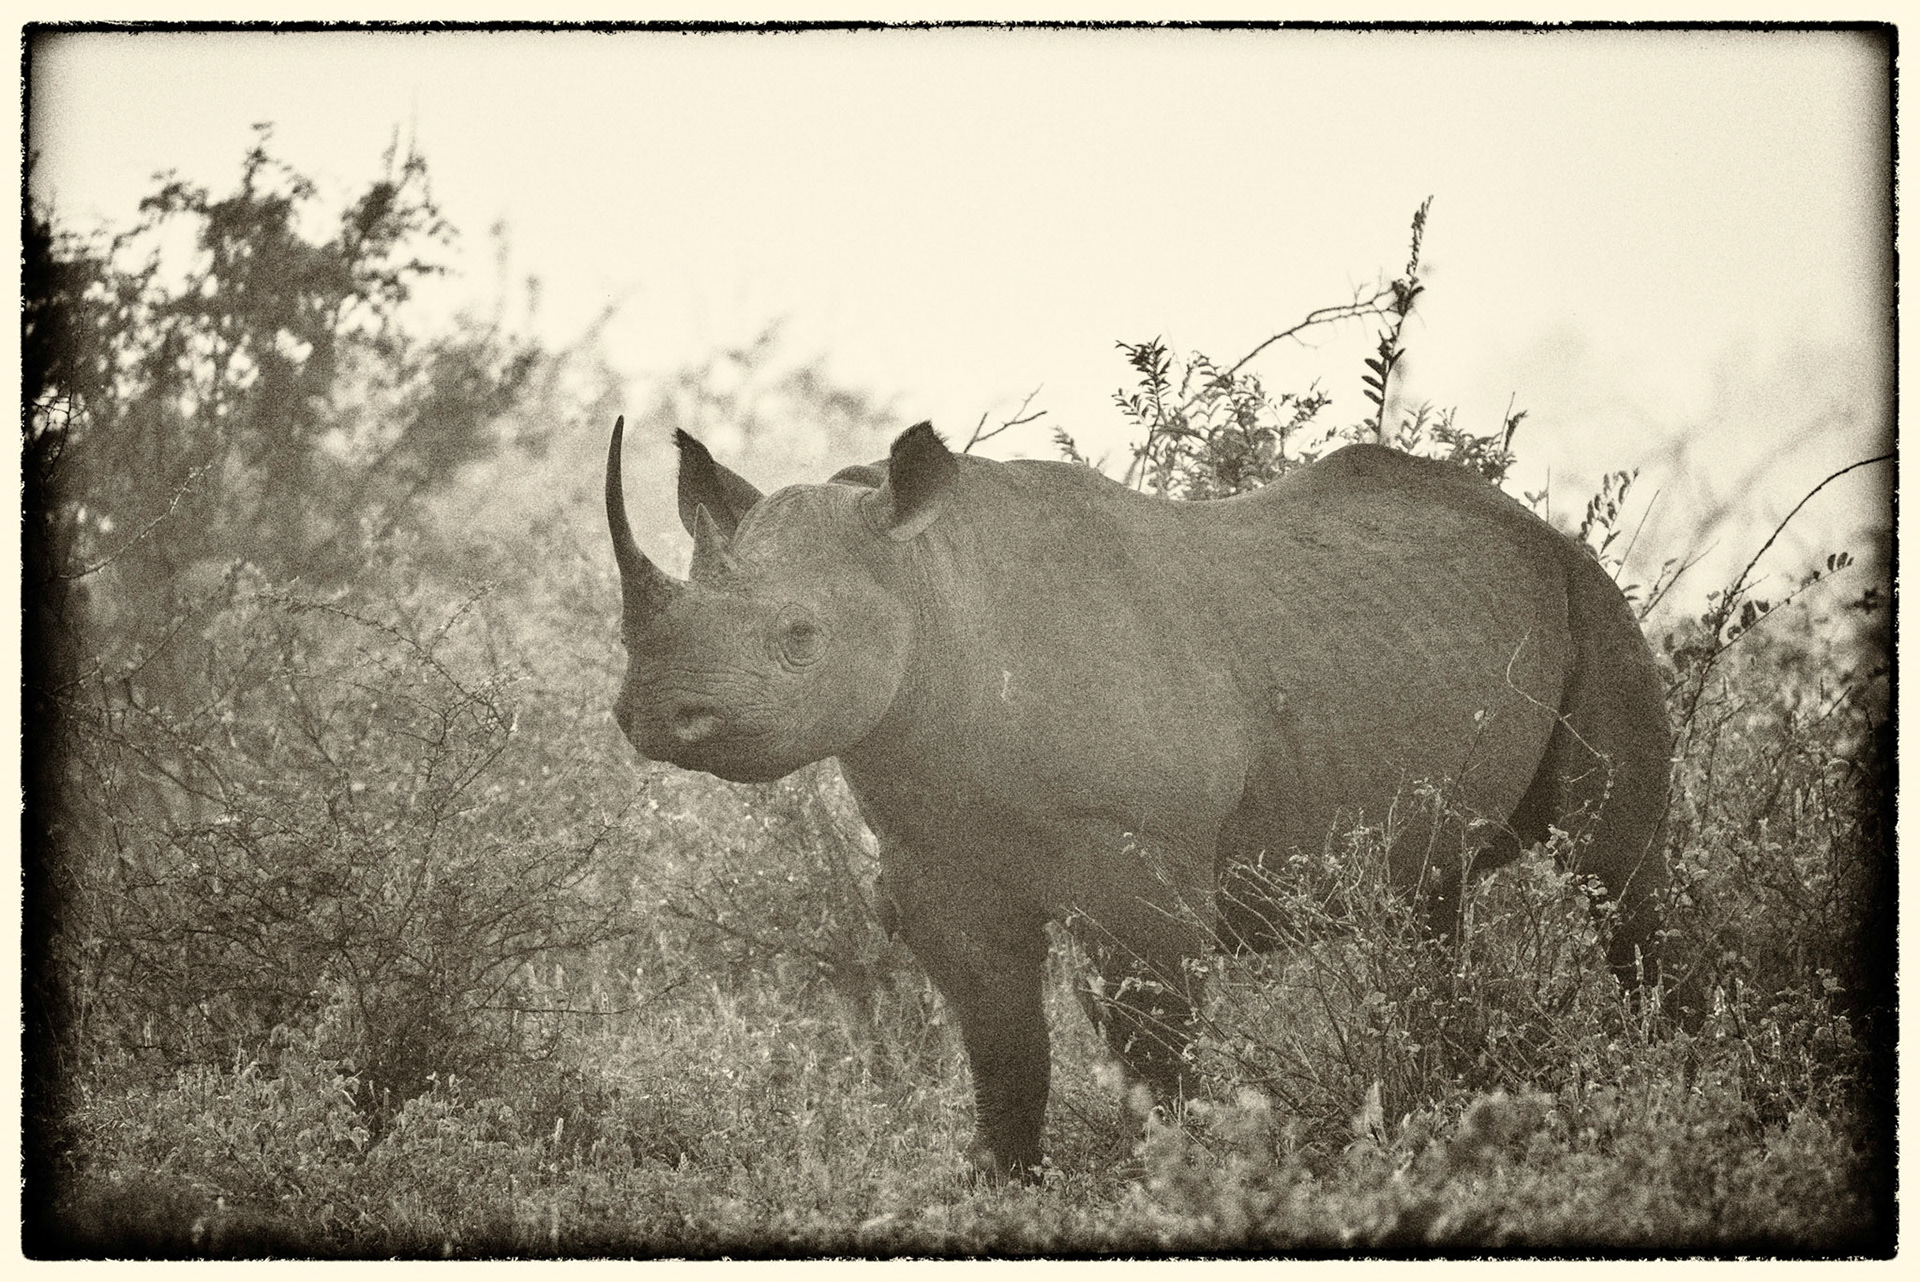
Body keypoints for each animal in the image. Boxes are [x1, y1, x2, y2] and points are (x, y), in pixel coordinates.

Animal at [604, 416, 1672, 1178]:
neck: (930, 587)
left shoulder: (1142, 862)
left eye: (800, 638)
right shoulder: (936, 857)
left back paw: (1672, 1084)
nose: (655, 713)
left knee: (1618, 879)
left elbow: (1152, 1040)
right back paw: (1445, 1110)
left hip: (1592, 599)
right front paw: (1000, 1187)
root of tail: (1536, 527)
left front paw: (1186, 1180)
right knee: (1423, 902)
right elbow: (1001, 1041)